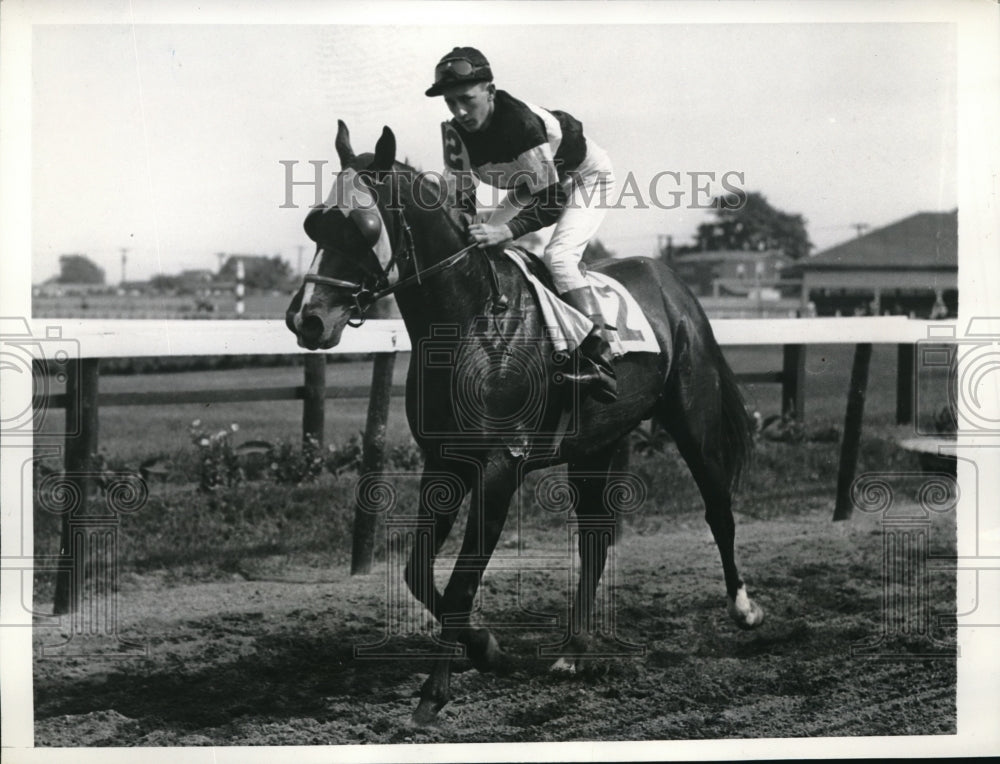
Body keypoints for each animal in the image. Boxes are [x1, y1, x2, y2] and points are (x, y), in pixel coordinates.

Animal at [286, 122, 760, 724]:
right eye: (314, 221)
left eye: (363, 226)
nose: (306, 319)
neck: (471, 320)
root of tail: (671, 282)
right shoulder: (445, 460)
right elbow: (418, 573)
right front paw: (487, 648)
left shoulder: (499, 465)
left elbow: (461, 583)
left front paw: (435, 691)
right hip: (595, 444)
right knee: (595, 539)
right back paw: (574, 650)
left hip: (691, 418)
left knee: (718, 508)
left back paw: (744, 609)